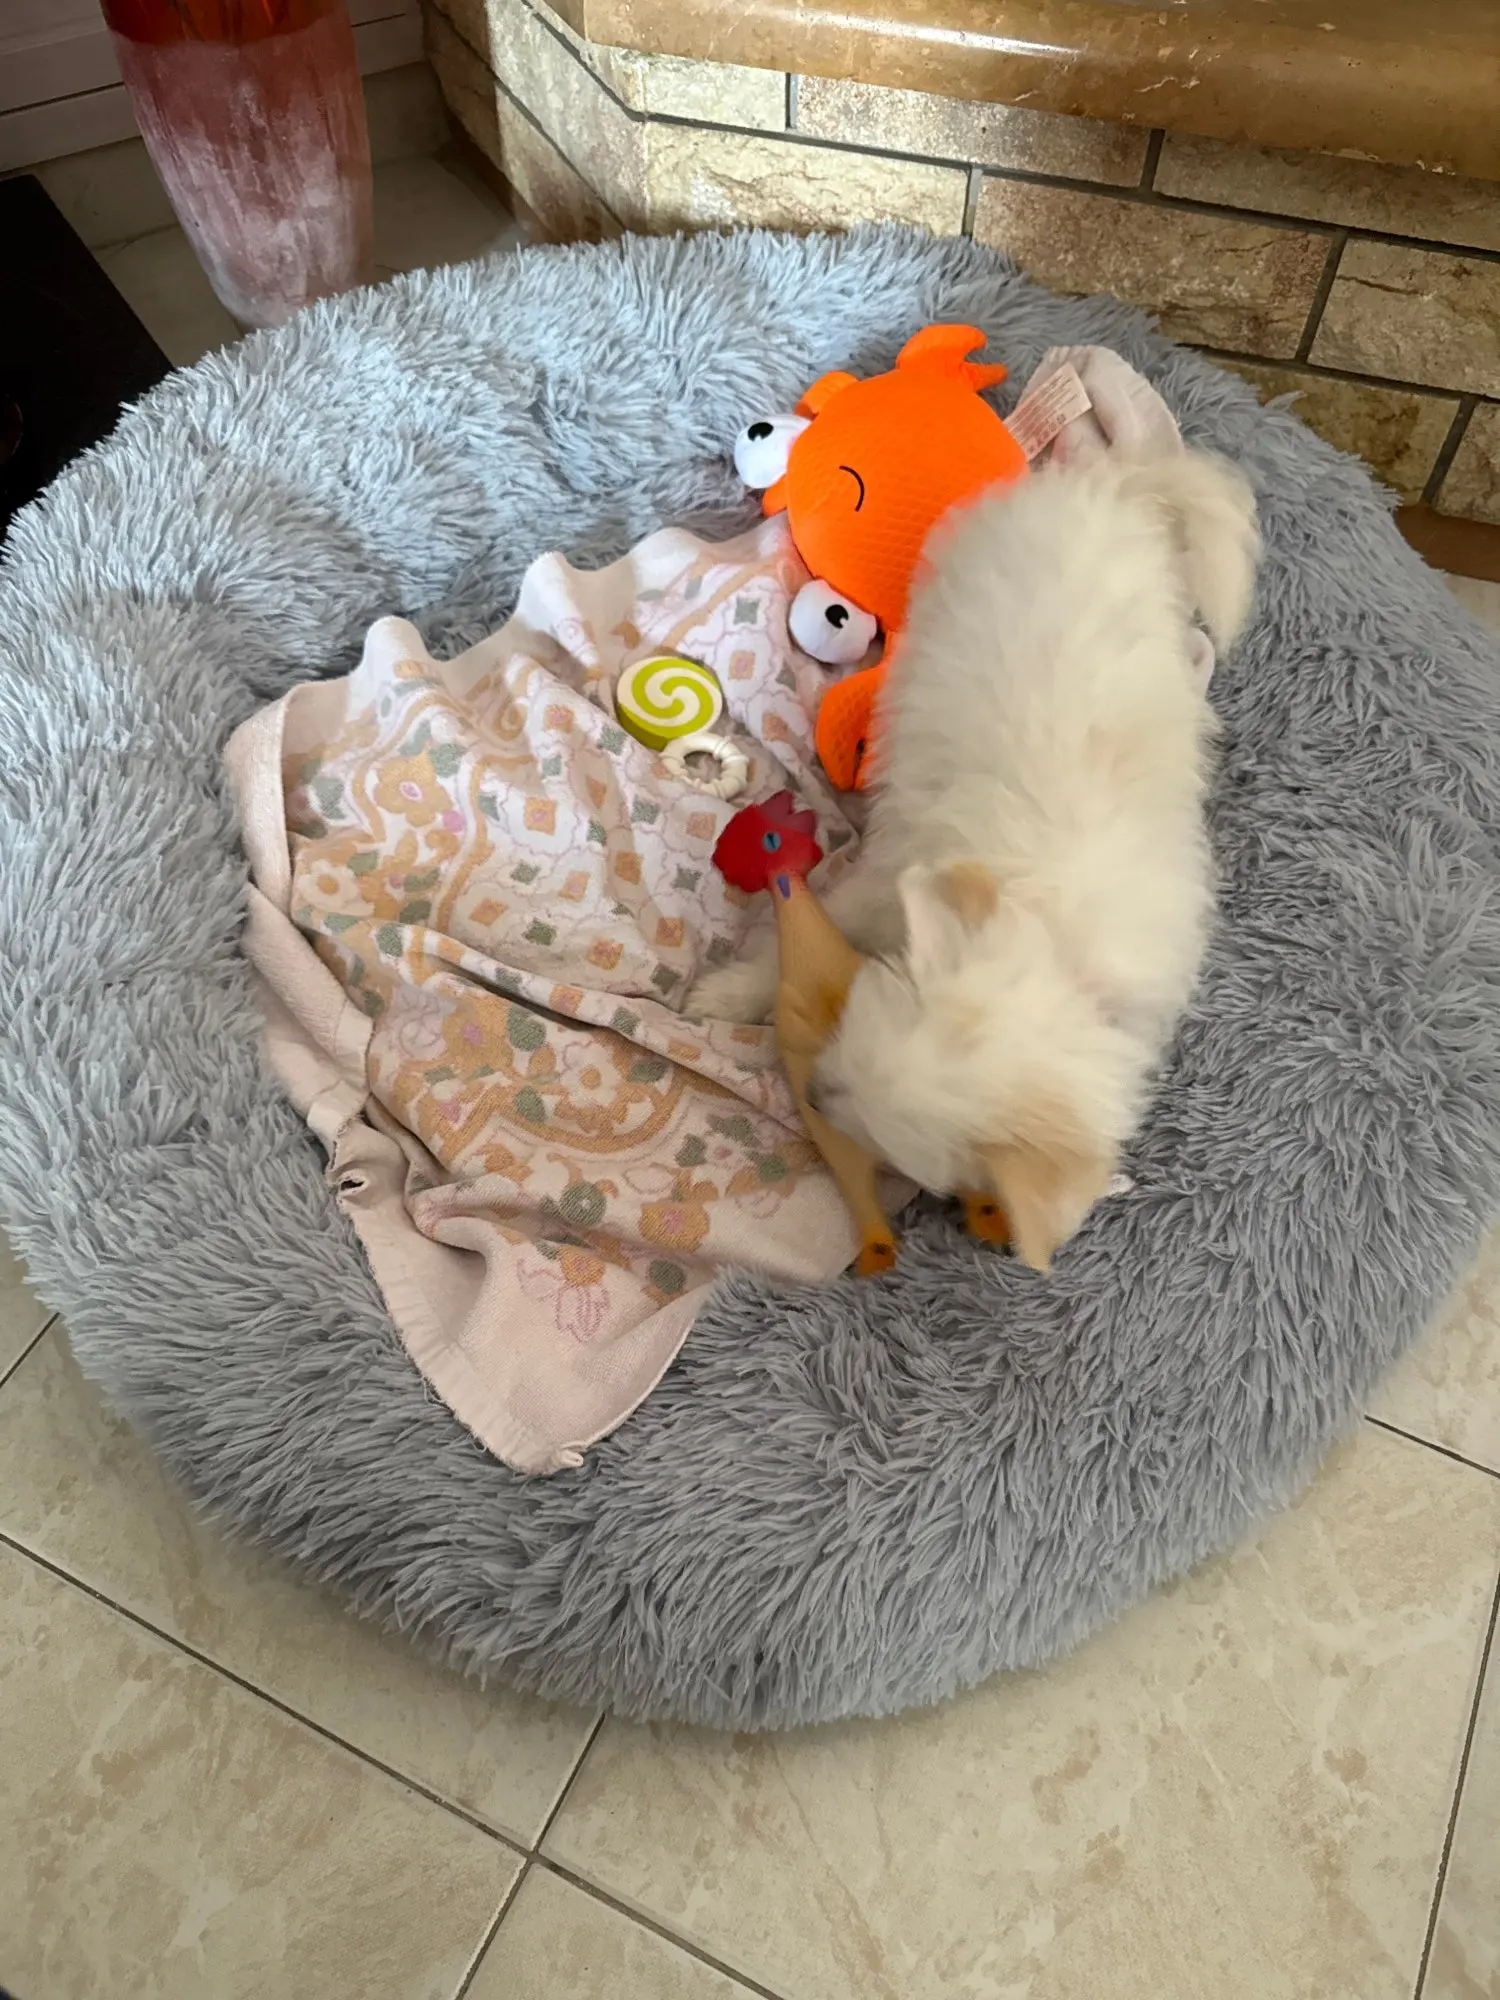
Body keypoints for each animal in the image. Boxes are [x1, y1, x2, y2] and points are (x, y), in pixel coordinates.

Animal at [688, 448, 1260, 1270]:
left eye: (886, 1149)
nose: (812, 1097)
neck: (1052, 937)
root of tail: (1109, 487)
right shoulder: (876, 888)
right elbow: (789, 943)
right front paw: (728, 992)